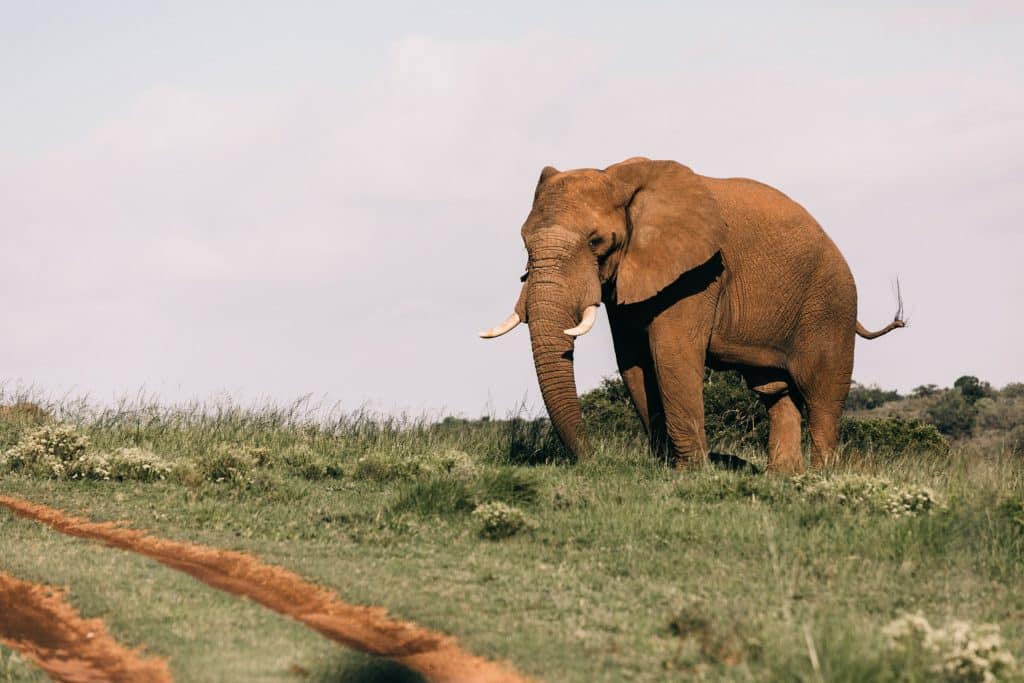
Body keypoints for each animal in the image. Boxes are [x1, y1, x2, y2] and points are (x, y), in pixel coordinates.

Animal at [481, 156, 905, 473]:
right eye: (524, 242)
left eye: (597, 242)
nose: (592, 460)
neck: (618, 178)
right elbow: (634, 361)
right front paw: (665, 467)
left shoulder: (698, 273)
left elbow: (671, 353)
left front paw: (690, 473)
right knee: (776, 393)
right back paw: (783, 478)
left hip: (831, 305)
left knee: (822, 395)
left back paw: (820, 478)